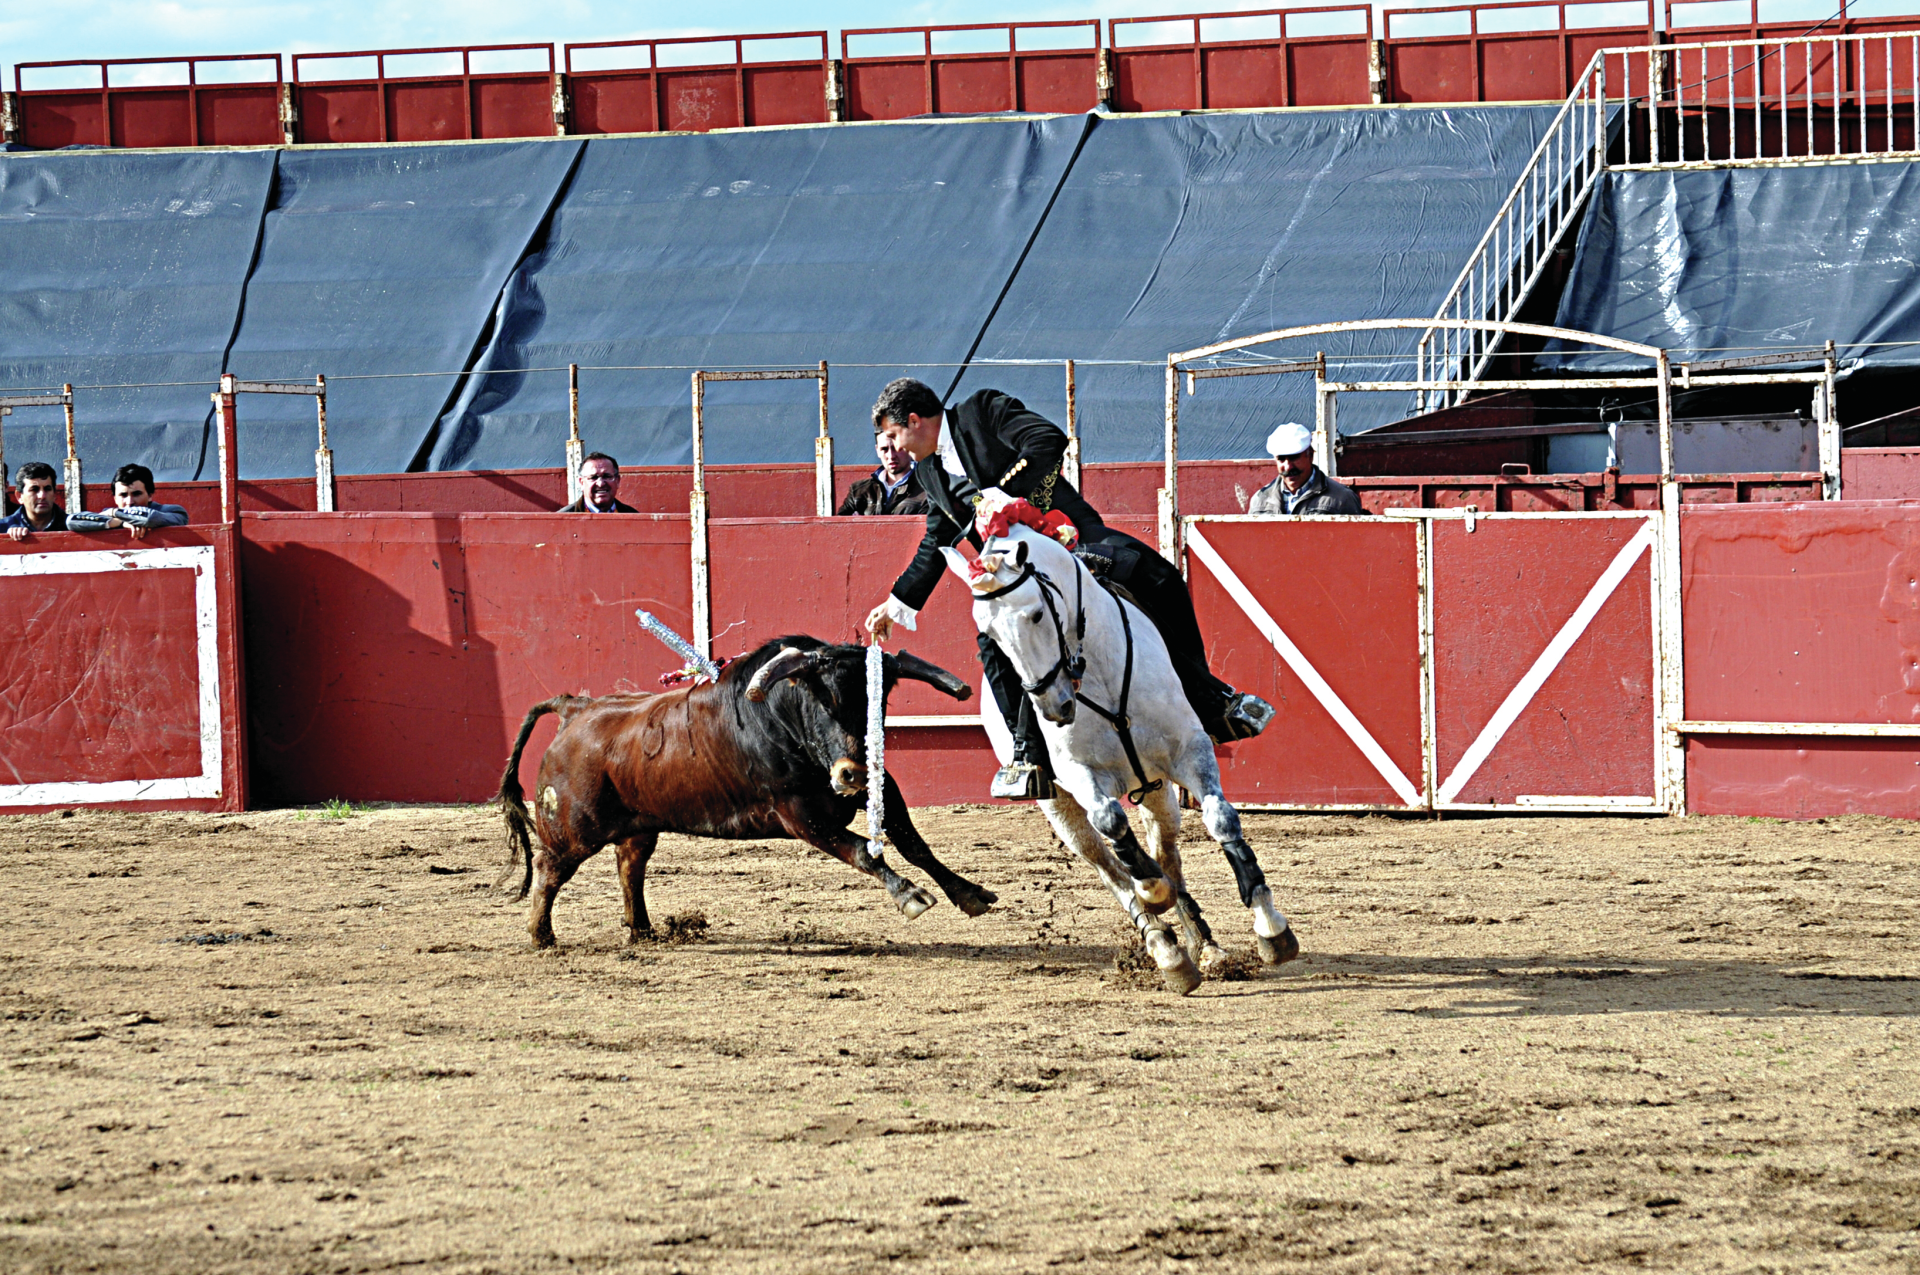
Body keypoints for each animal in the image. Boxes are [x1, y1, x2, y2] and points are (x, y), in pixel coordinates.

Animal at [499, 637, 990, 944]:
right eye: (823, 701)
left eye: (880, 699)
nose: (853, 773)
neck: (784, 721)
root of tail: (576, 709)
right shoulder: (801, 816)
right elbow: (864, 852)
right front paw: (910, 896)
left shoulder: (881, 788)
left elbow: (915, 844)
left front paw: (968, 893)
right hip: (574, 829)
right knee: (549, 867)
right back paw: (542, 936)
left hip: (639, 825)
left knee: (629, 866)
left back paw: (643, 931)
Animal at [936, 522, 1297, 990]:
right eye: (989, 634)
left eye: (1036, 614)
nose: (1054, 707)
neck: (1098, 675)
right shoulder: (1080, 776)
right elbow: (1113, 826)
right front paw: (1152, 894)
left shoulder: (1189, 749)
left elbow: (1222, 820)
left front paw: (1271, 928)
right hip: (1062, 808)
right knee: (1110, 868)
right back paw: (1165, 949)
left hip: (1157, 787)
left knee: (1166, 852)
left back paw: (1205, 946)